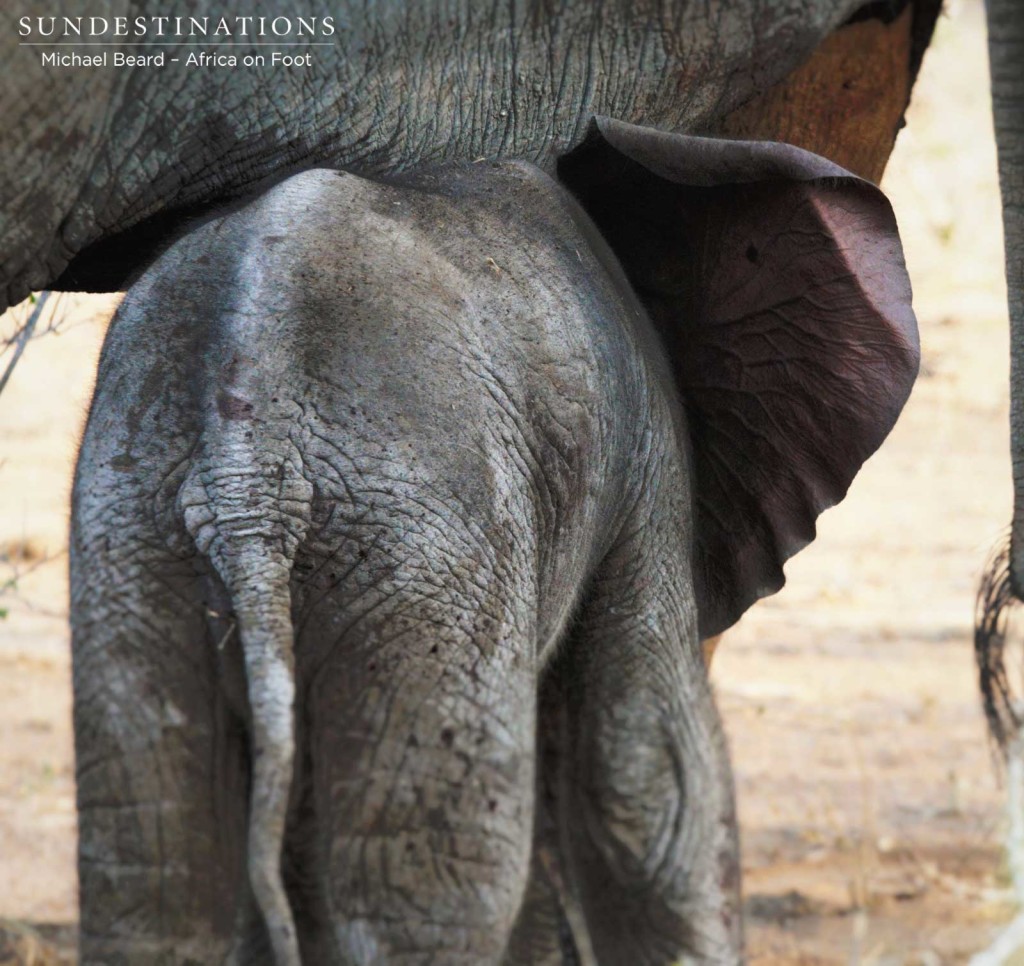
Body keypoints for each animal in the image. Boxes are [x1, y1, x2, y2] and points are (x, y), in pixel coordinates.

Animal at [74, 122, 921, 966]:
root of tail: (251, 457)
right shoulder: (647, 455)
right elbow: (644, 771)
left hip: (138, 533)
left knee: (156, 871)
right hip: (421, 547)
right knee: (428, 881)